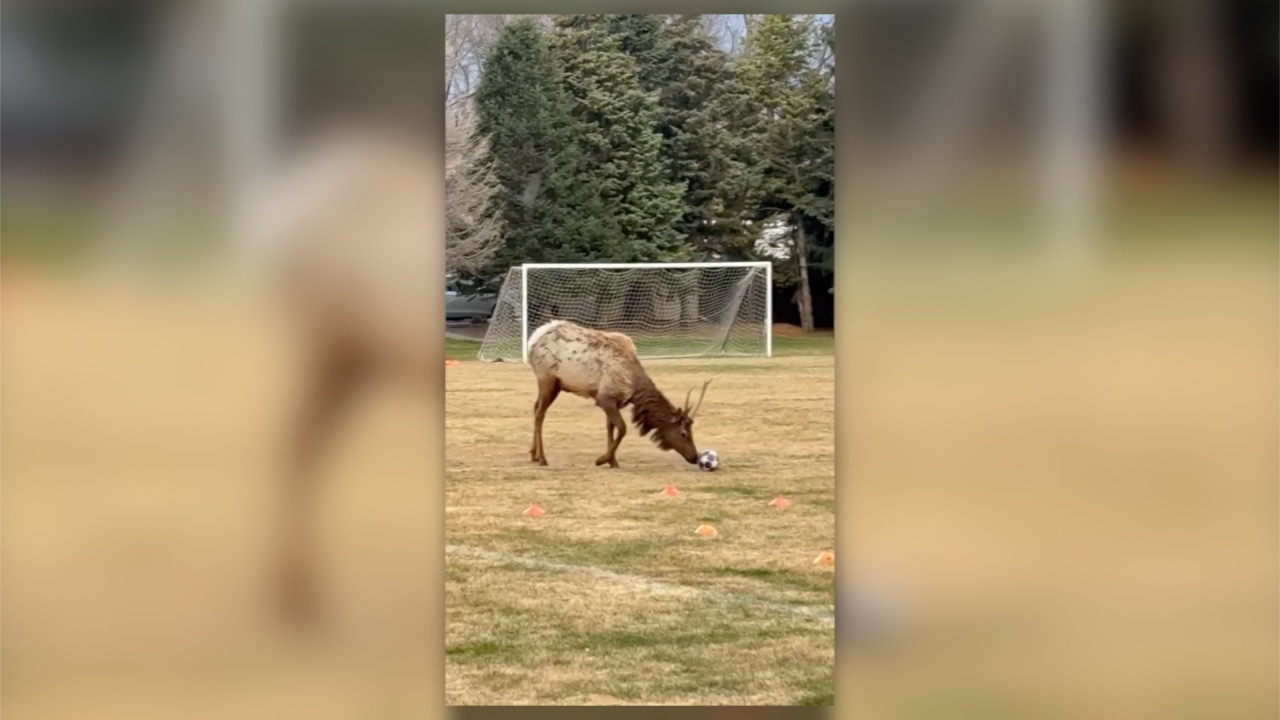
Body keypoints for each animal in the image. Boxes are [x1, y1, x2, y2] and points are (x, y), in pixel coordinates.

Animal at [527, 319, 711, 468]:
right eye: (684, 434)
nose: (695, 457)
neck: (633, 388)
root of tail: (532, 340)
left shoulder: (615, 402)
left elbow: (611, 428)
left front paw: (612, 461)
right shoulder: (604, 398)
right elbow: (622, 428)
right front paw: (602, 459)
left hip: (557, 385)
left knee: (535, 407)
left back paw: (533, 454)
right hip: (546, 378)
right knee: (540, 413)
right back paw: (542, 458)